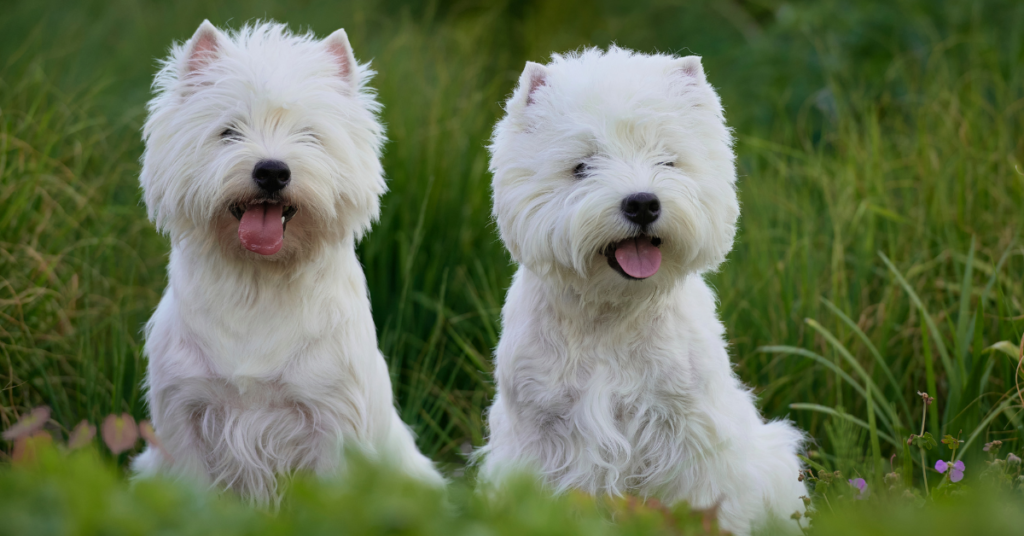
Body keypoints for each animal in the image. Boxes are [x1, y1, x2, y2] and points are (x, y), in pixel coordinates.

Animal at [130, 21, 442, 506]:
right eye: (229, 132)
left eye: (310, 135)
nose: (272, 171)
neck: (258, 283)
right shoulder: (185, 411)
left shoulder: (332, 417)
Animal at [477, 48, 806, 532]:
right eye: (582, 166)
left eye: (667, 160)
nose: (643, 203)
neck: (612, 311)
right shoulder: (540, 433)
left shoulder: (689, 430)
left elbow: (699, 501)